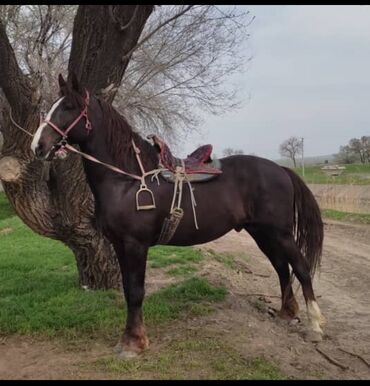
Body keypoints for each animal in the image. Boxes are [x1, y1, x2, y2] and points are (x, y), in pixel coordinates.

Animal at [31, 74, 326, 358]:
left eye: (69, 107)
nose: (38, 146)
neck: (129, 180)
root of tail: (280, 169)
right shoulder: (119, 245)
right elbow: (127, 290)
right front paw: (129, 339)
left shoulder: (135, 245)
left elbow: (136, 292)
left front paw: (134, 344)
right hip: (262, 233)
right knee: (281, 267)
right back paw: (287, 313)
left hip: (280, 233)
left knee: (300, 268)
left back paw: (315, 326)